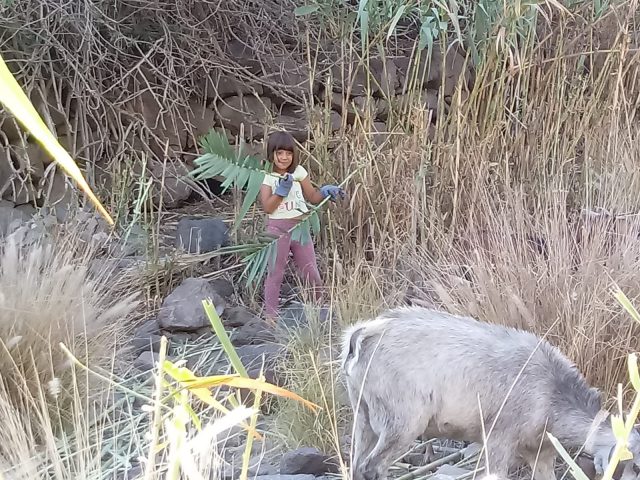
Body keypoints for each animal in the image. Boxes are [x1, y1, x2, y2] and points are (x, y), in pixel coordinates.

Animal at [342, 306, 640, 480]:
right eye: (635, 466)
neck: (550, 394)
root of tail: (363, 335)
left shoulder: (540, 453)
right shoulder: (498, 439)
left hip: (364, 416)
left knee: (356, 465)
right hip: (401, 423)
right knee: (372, 467)